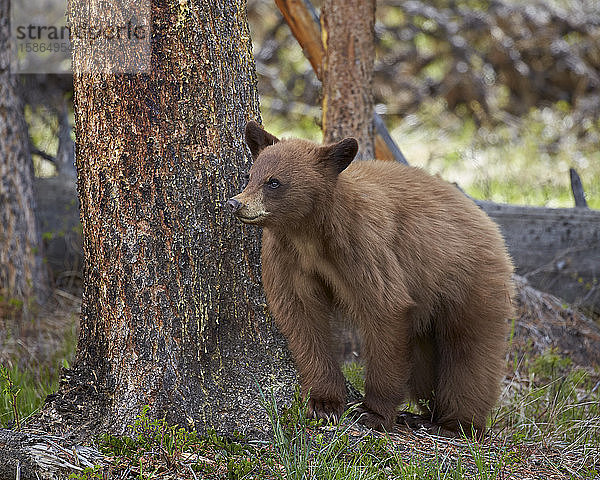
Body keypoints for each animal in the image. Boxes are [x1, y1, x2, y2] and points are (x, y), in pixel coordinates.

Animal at [227, 121, 512, 436]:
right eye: (250, 176)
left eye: (274, 182)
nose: (235, 203)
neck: (309, 232)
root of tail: (486, 220)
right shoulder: (287, 256)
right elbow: (301, 316)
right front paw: (324, 403)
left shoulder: (363, 244)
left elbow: (385, 310)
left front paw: (373, 412)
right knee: (423, 364)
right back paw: (423, 416)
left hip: (469, 280)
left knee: (469, 352)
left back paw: (455, 424)